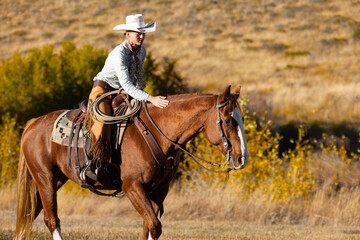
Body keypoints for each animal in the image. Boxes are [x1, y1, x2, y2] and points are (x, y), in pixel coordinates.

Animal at [14, 86, 250, 240]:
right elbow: (154, 226)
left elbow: (149, 227)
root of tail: (33, 124)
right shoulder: (133, 187)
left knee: (32, 215)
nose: (242, 158)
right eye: (228, 120)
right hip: (45, 178)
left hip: (52, 181)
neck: (155, 132)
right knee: (52, 220)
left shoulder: (158, 191)